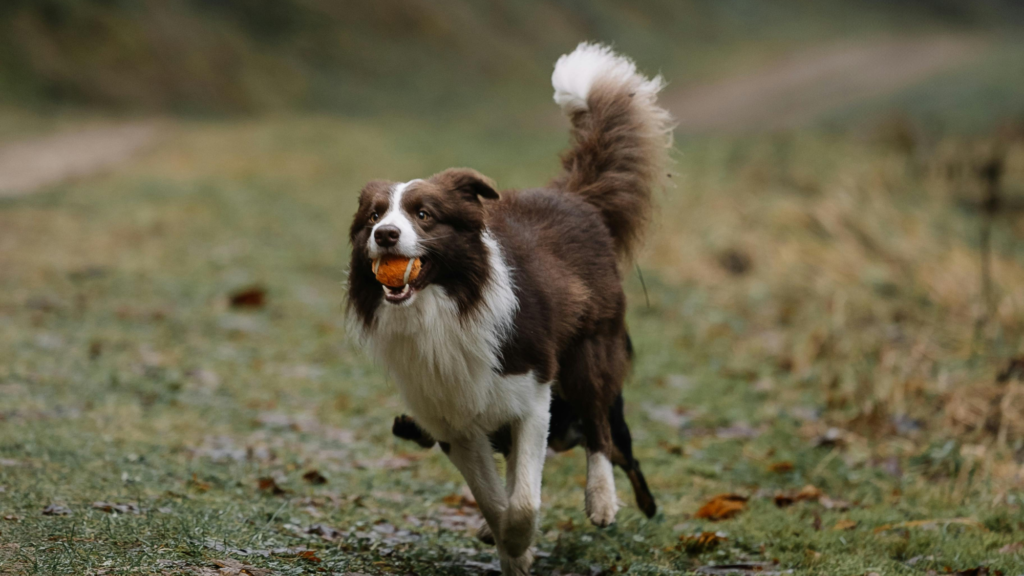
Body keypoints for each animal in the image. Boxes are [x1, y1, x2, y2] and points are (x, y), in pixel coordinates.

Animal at [348, 42, 675, 569]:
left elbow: (522, 500)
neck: (444, 307)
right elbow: (491, 495)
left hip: (590, 351)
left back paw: (602, 499)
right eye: (375, 215)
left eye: (424, 215)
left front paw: (519, 543)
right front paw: (503, 540)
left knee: (599, 428)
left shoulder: (532, 394)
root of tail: (575, 198)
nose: (386, 235)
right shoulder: (454, 420)